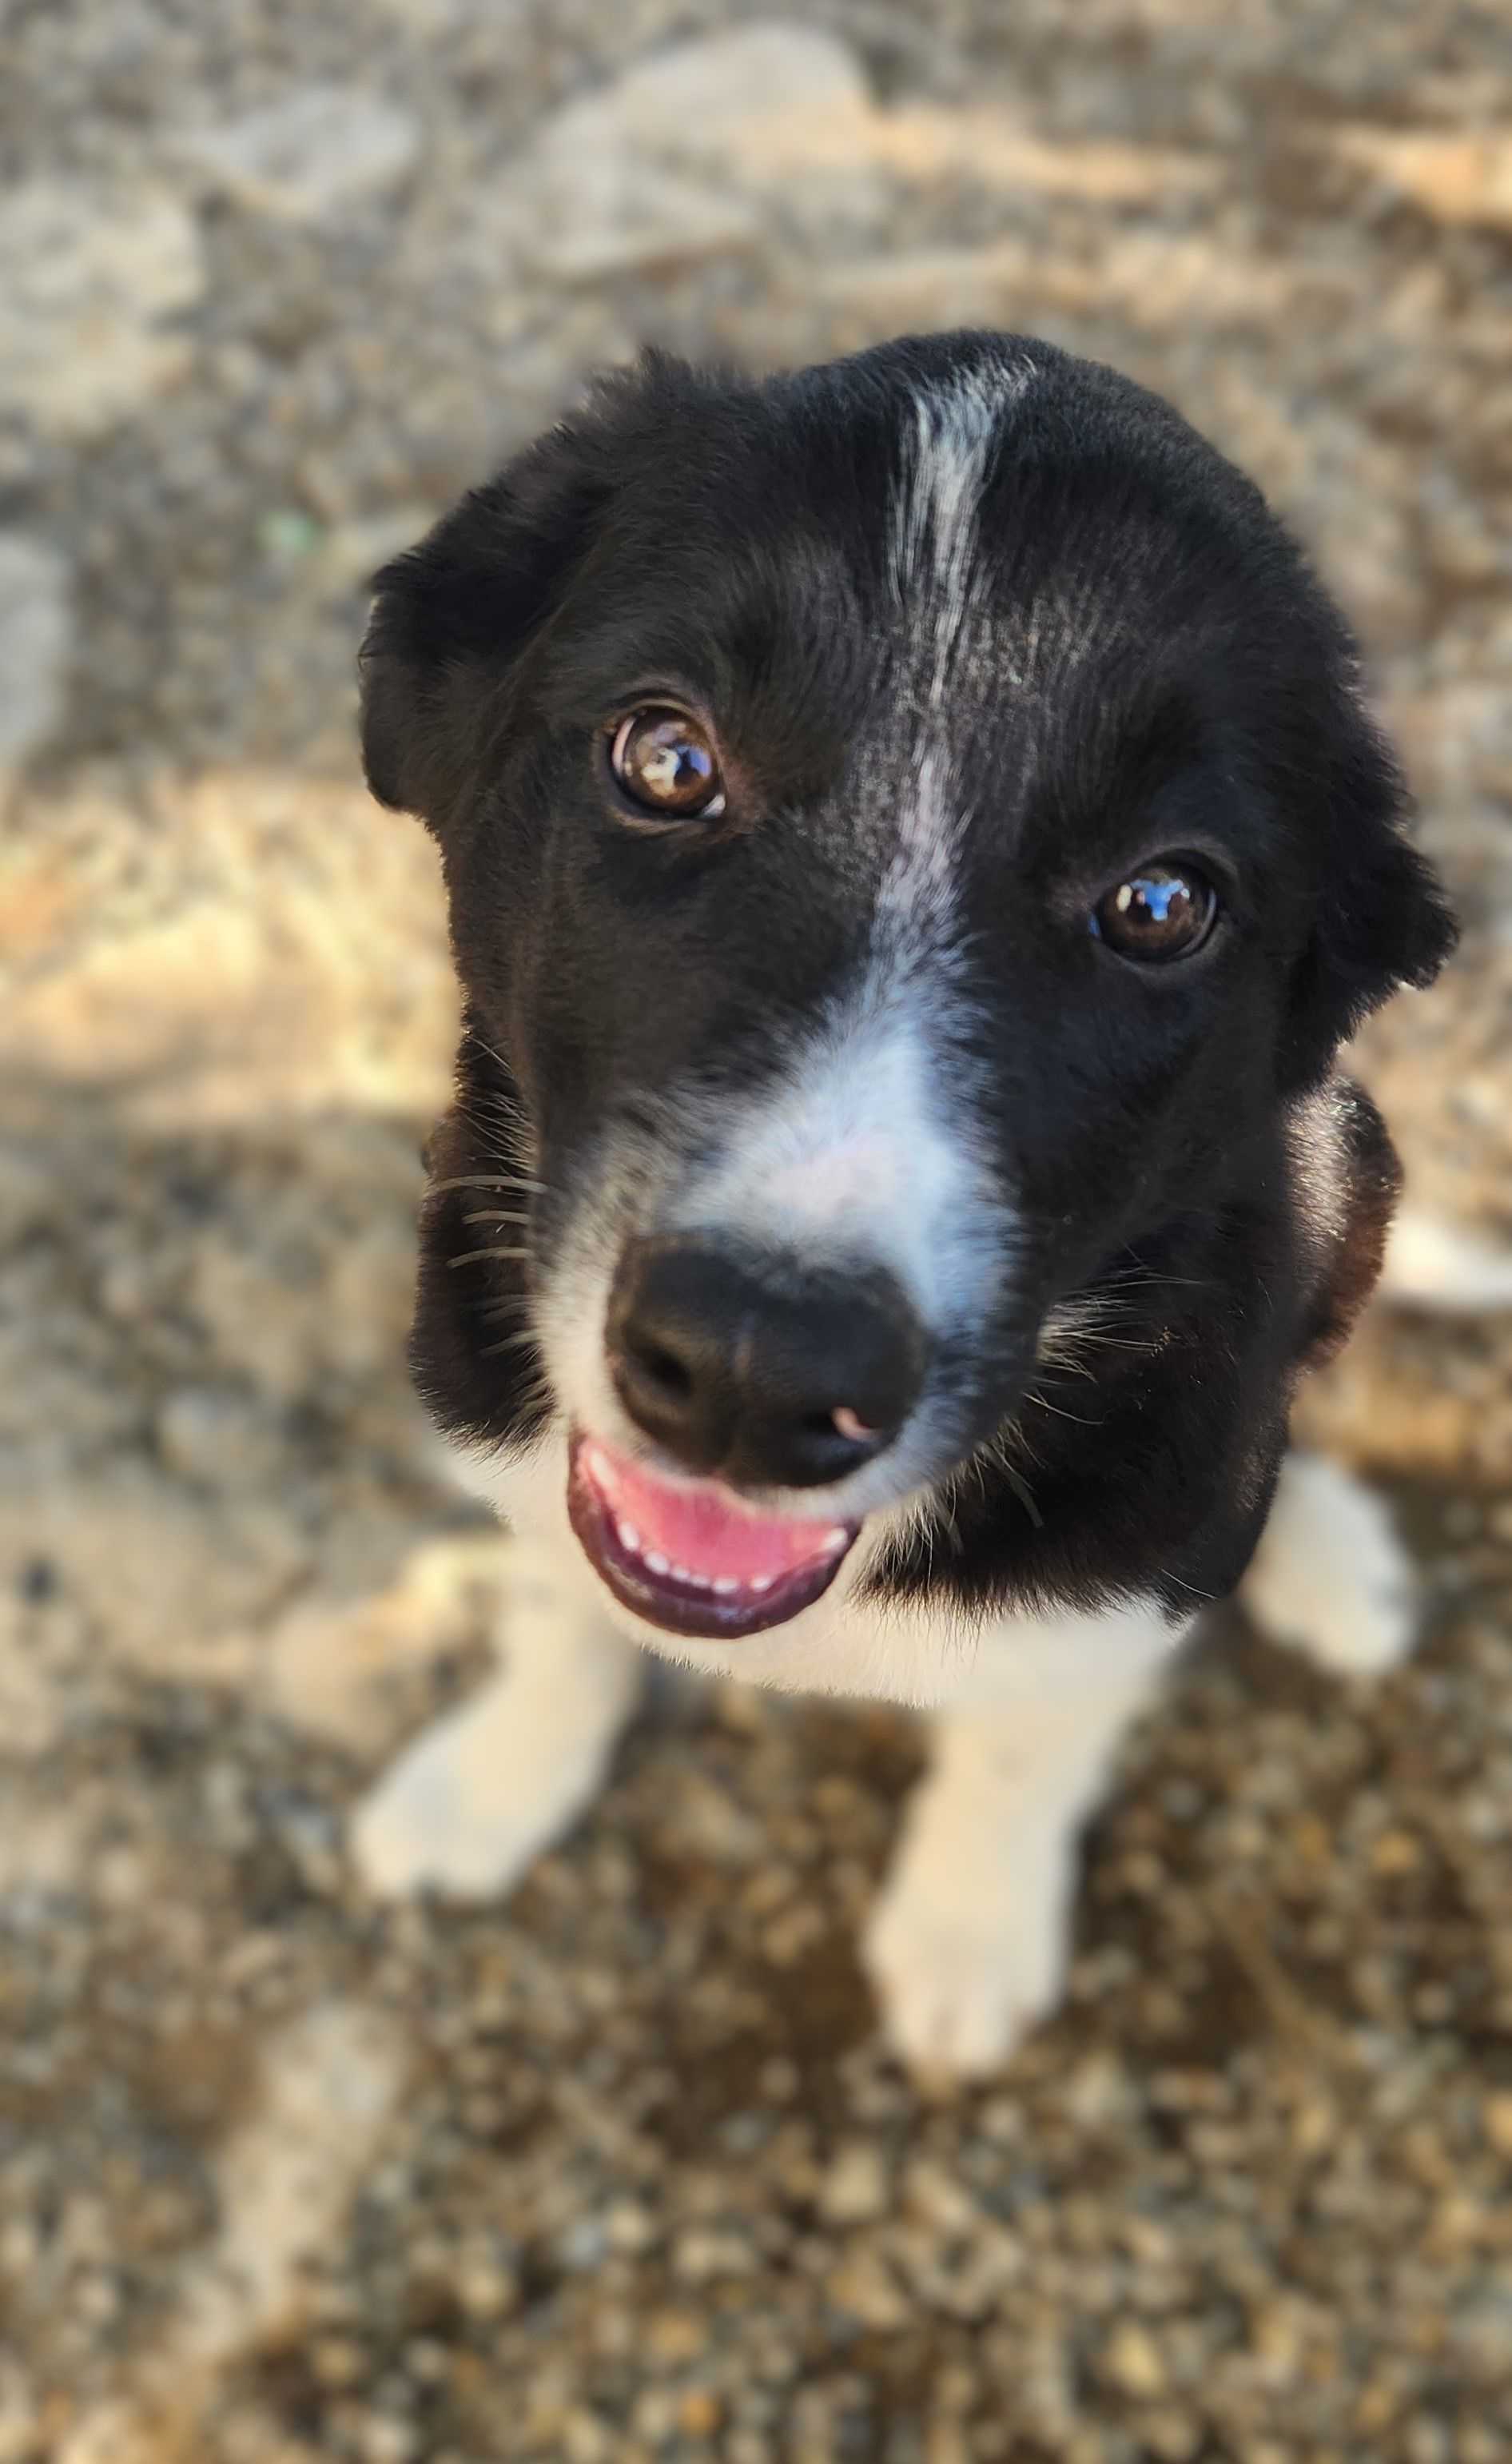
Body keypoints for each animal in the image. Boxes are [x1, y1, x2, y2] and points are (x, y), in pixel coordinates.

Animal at [352, 332, 1458, 2080]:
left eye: (1161, 901)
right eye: (667, 757)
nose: (756, 1368)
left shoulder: (1113, 1586)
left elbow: (1027, 1742)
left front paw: (966, 1926)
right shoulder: (514, 1419)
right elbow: (553, 1599)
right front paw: (491, 1780)